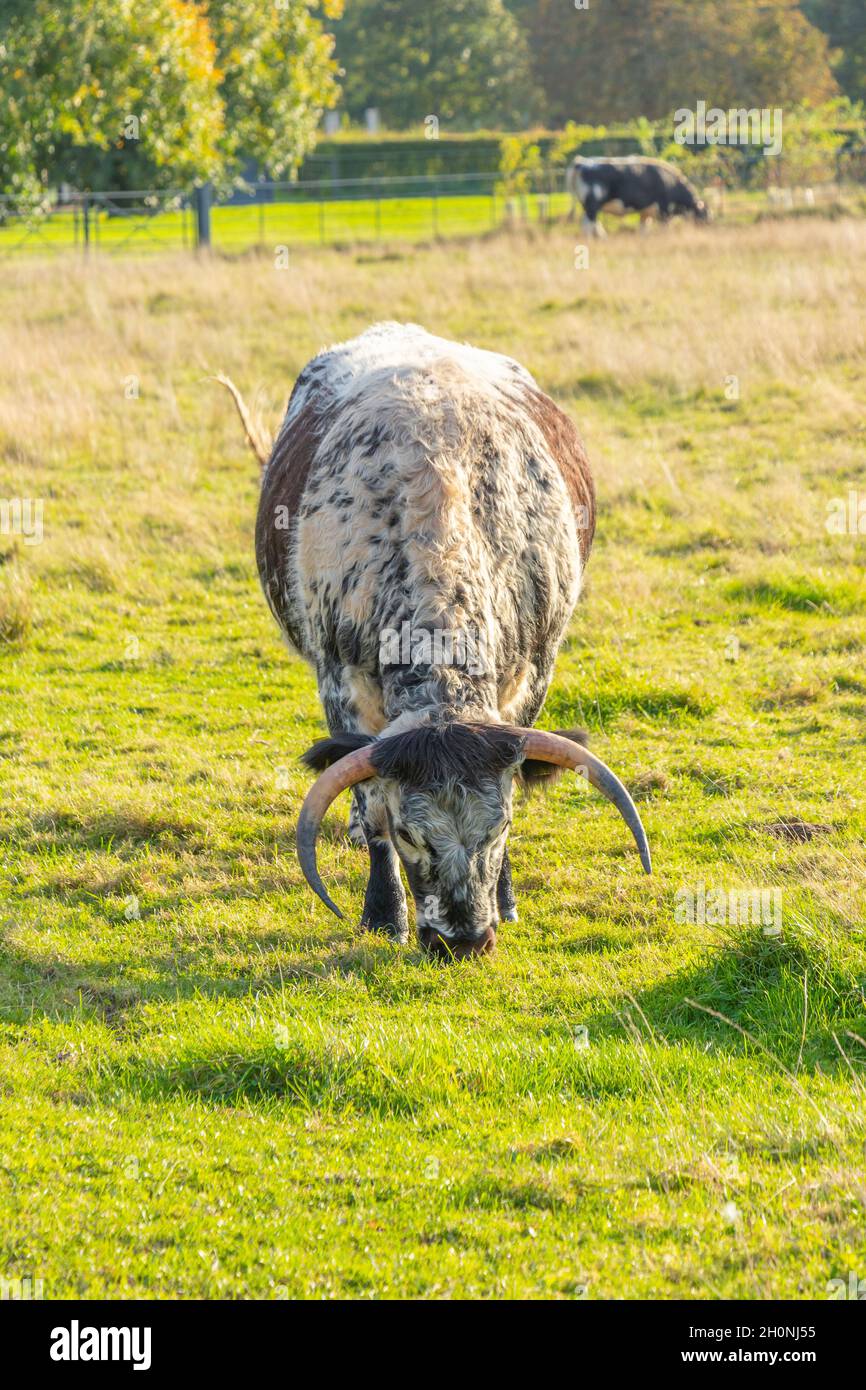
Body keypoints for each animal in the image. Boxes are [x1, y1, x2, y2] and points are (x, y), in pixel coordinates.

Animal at [223, 321, 650, 961]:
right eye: (410, 833)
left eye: (499, 828)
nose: (464, 941)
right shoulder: (340, 683)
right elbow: (369, 793)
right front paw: (384, 915)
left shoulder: (532, 674)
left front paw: (506, 898)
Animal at [569, 157, 711, 236]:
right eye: (703, 215)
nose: (706, 230)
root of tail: (581, 162)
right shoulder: (664, 211)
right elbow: (664, 230)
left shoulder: (646, 213)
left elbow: (644, 230)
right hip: (592, 204)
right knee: (589, 224)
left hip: (588, 206)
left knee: (590, 223)